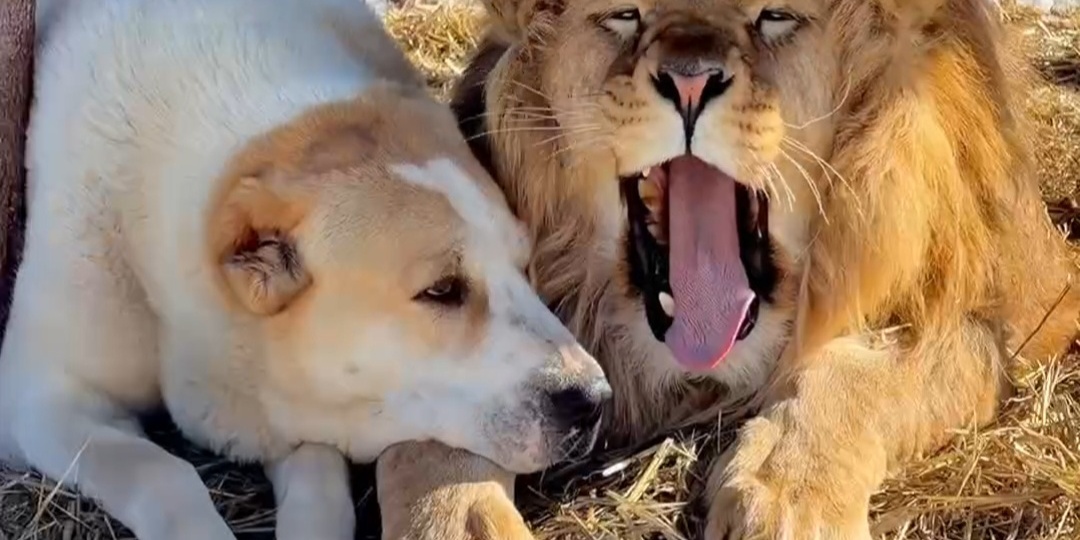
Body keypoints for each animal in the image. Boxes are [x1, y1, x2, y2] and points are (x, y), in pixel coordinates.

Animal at [374, 0, 1080, 538]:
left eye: (774, 16)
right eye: (624, 15)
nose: (690, 82)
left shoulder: (972, 322)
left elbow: (853, 375)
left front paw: (786, 495)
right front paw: (452, 517)